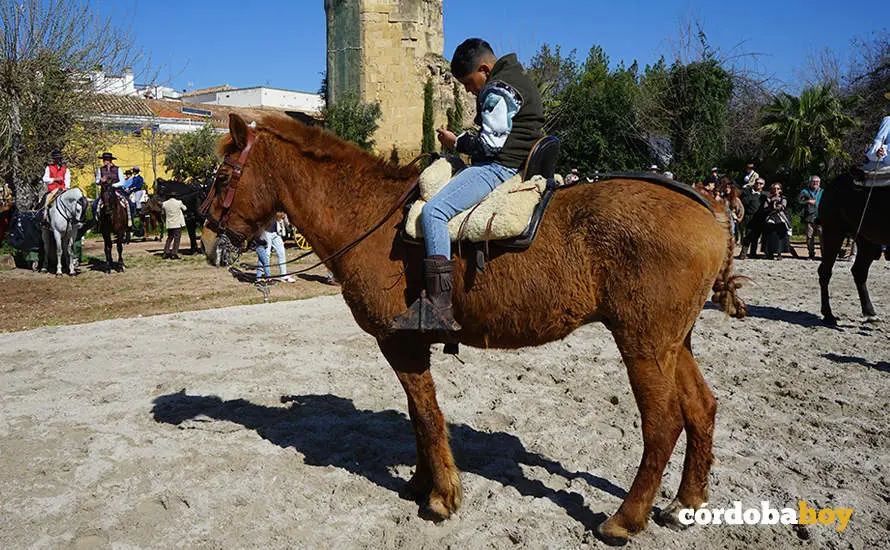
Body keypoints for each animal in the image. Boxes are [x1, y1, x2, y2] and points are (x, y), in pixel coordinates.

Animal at [199, 113, 746, 546]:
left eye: (224, 176)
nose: (206, 239)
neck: (369, 215)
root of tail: (712, 210)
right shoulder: (409, 347)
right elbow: (418, 415)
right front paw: (421, 483)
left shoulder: (399, 344)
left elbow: (426, 416)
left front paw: (442, 495)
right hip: (672, 344)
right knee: (702, 408)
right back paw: (686, 503)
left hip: (643, 345)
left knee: (663, 424)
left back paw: (625, 519)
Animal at [818, 169, 890, 324]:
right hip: (834, 233)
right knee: (825, 271)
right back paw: (828, 314)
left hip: (866, 241)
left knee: (859, 271)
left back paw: (870, 312)